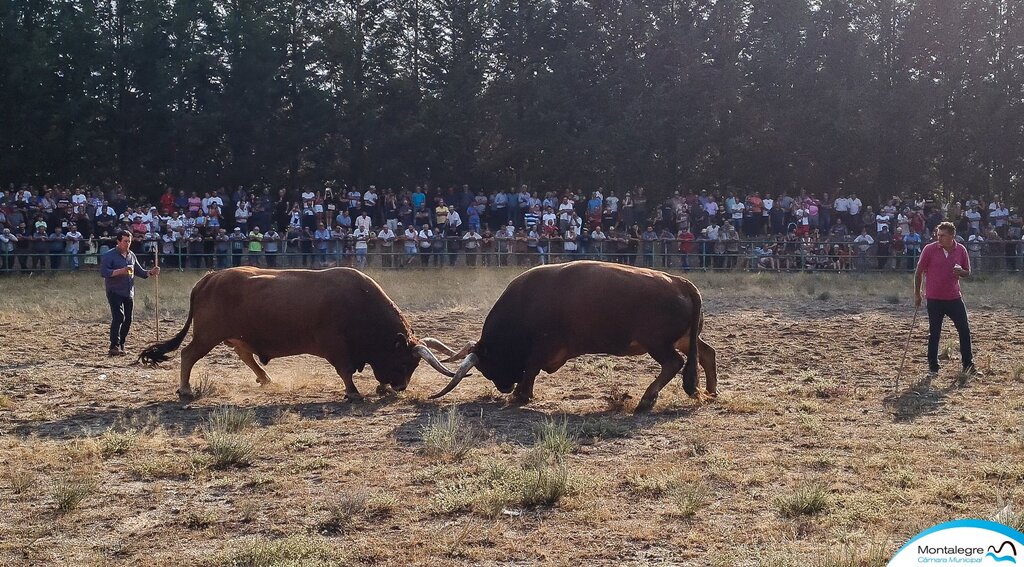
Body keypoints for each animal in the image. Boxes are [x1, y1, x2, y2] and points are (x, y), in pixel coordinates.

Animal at [138, 266, 458, 401]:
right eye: (405, 362)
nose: (401, 387)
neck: (360, 304)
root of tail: (208, 278)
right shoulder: (336, 347)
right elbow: (345, 371)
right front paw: (354, 392)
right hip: (207, 335)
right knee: (188, 354)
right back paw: (185, 389)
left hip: (234, 335)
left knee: (245, 354)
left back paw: (266, 378)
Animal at [428, 259, 716, 411]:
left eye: (488, 365)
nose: (503, 386)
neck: (525, 303)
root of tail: (681, 283)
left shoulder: (542, 346)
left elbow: (531, 368)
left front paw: (520, 394)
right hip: (685, 339)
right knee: (706, 353)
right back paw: (711, 391)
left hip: (657, 343)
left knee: (674, 363)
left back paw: (647, 398)